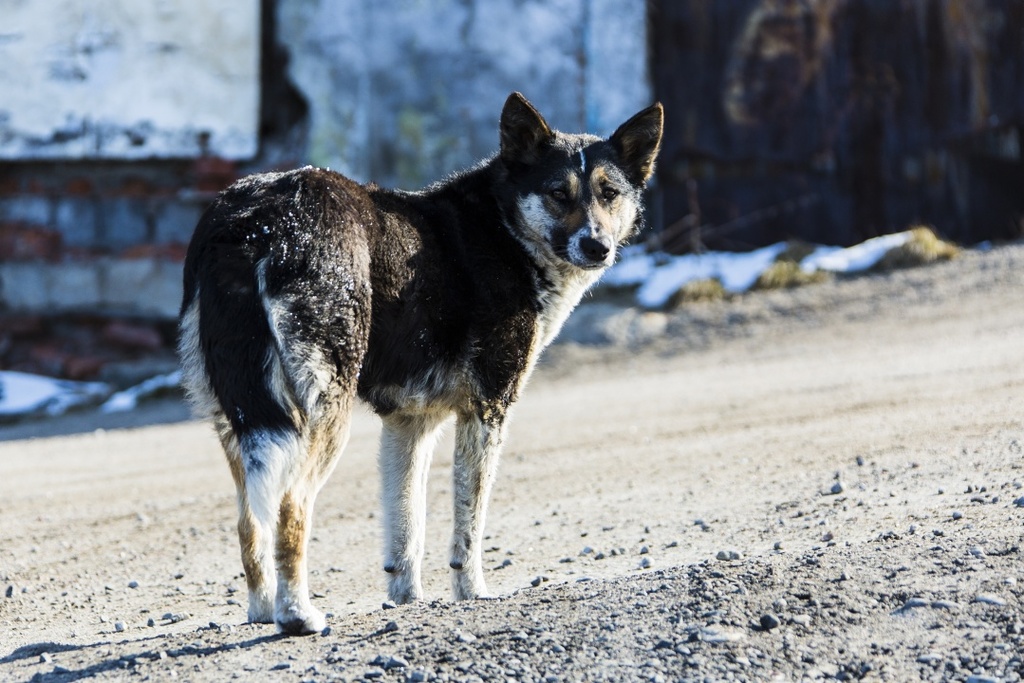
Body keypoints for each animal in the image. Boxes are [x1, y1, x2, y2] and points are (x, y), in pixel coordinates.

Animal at [178, 92, 663, 634]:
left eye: (609, 193)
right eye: (559, 193)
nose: (597, 246)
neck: (503, 228)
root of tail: (252, 220)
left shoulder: (409, 424)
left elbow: (406, 530)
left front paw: (407, 599)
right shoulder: (487, 411)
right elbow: (468, 525)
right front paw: (471, 593)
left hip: (241, 422)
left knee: (249, 523)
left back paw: (263, 612)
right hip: (323, 414)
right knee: (290, 507)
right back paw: (297, 614)